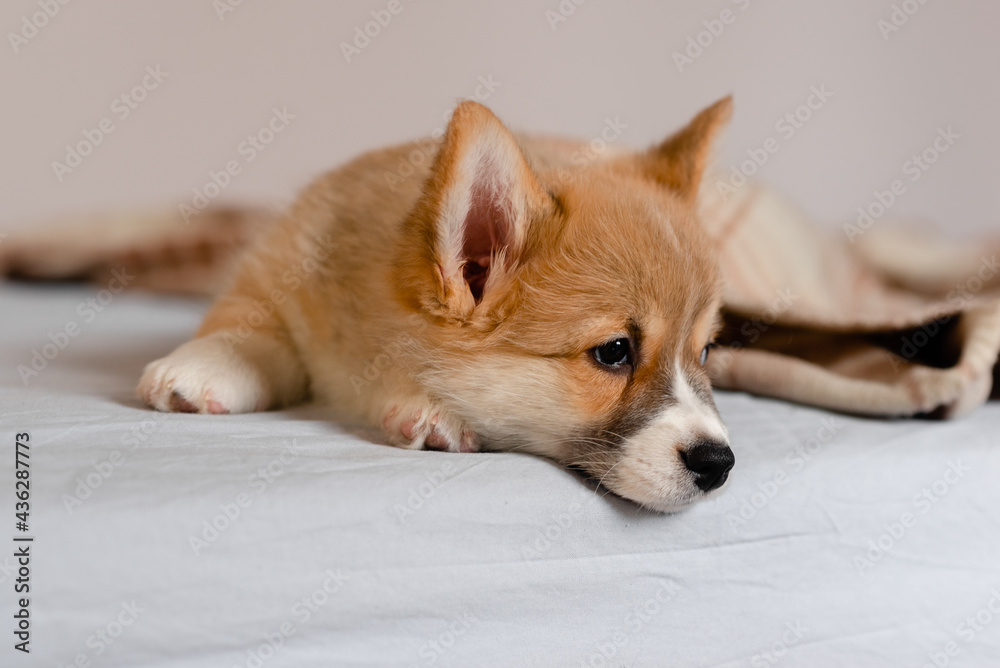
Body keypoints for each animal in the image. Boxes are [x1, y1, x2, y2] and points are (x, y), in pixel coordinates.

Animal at [135, 98, 736, 512]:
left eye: (705, 352)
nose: (719, 465)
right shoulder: (277, 268)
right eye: (613, 351)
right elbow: (250, 326)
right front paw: (207, 364)